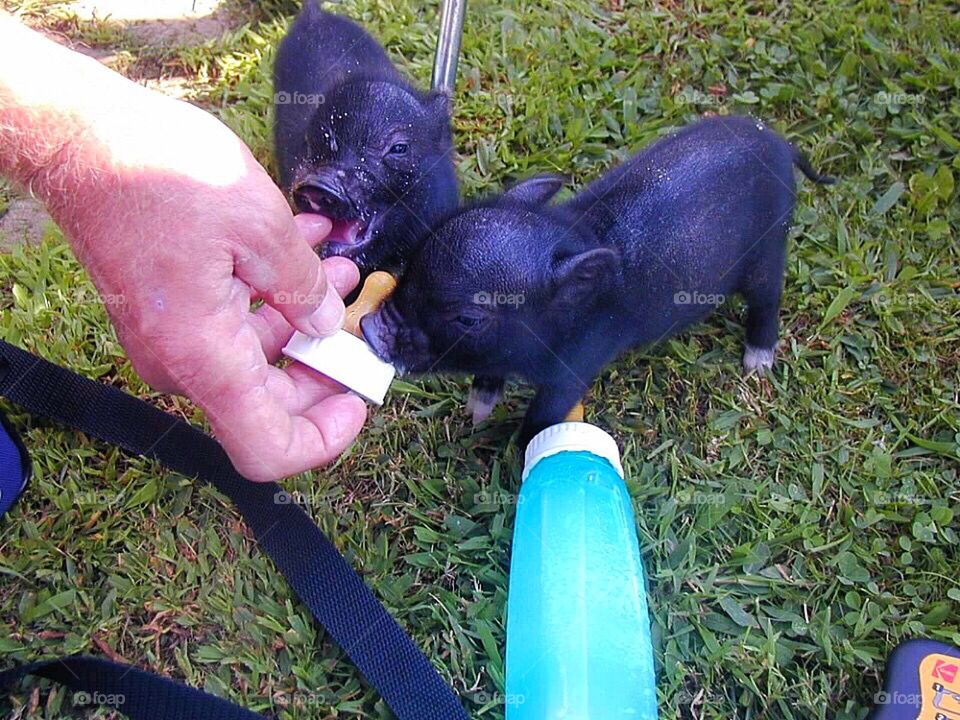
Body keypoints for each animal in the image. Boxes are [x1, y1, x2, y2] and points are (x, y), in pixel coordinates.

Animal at [361, 115, 835, 446]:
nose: (370, 326)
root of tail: (780, 143)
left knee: (768, 300)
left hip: (769, 247)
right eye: (412, 263)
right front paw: (475, 414)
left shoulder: (579, 363)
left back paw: (757, 365)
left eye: (468, 319)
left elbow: (544, 417)